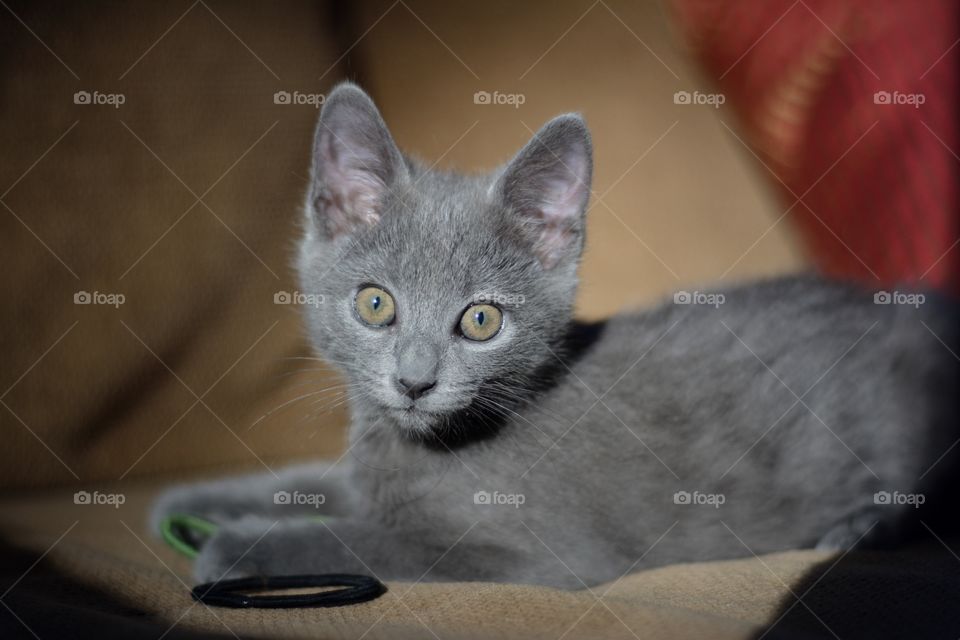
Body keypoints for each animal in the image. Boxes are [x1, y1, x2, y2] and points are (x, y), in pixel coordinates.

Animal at [154, 82, 956, 588]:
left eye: (481, 320)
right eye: (376, 305)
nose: (414, 381)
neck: (425, 444)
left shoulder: (539, 557)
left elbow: (372, 542)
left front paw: (241, 542)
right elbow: (313, 485)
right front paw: (192, 503)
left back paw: (860, 528)